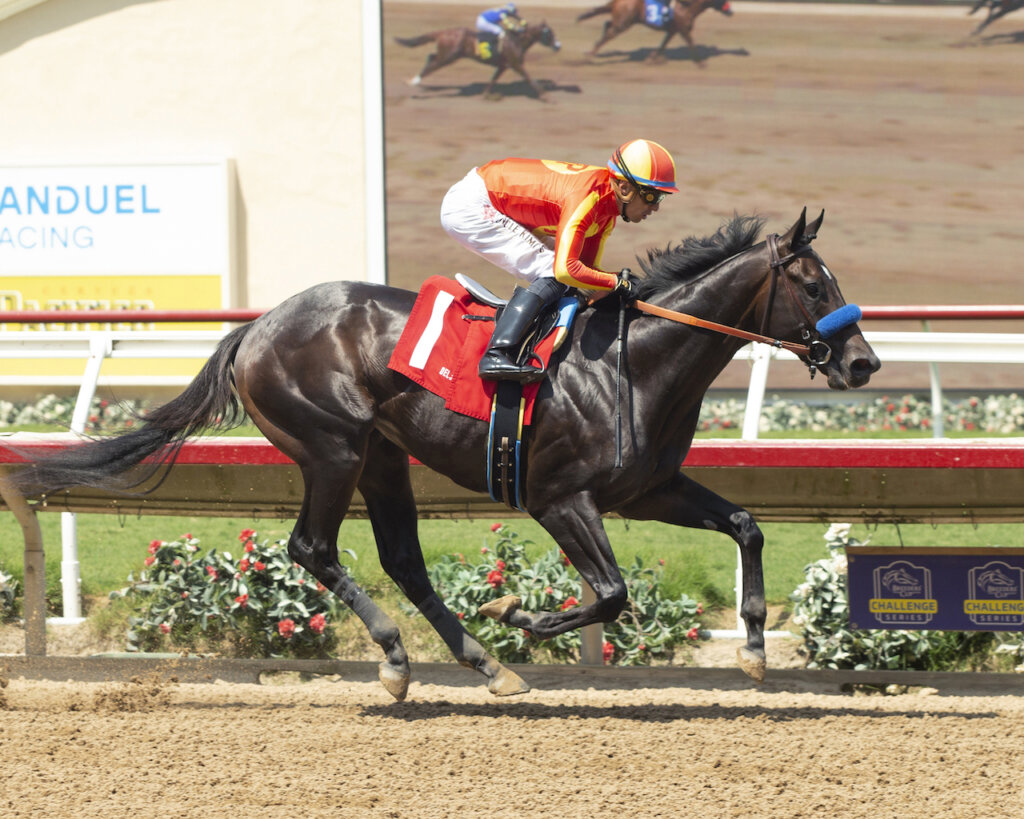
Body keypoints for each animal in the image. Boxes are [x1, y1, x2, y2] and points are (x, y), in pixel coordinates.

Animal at [9, 207, 880, 700]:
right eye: (812, 283)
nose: (864, 362)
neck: (632, 362)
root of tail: (256, 328)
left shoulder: (648, 488)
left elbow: (746, 525)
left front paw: (758, 651)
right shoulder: (561, 498)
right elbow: (610, 594)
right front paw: (517, 613)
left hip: (384, 455)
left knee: (401, 558)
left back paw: (483, 665)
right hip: (333, 446)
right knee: (313, 546)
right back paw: (403, 657)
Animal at [395, 19, 565, 98]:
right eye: (548, 33)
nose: (558, 46)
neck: (516, 40)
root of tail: (442, 32)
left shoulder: (503, 65)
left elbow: (493, 80)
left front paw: (486, 94)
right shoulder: (516, 64)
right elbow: (530, 79)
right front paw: (546, 96)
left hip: (447, 54)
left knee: (431, 57)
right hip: (449, 56)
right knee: (432, 64)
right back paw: (413, 81)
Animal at [577, 0, 737, 64]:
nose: (731, 11)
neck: (687, 6)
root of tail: (616, 2)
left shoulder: (673, 30)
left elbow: (663, 45)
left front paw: (652, 59)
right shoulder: (683, 29)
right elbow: (691, 43)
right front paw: (701, 63)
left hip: (624, 21)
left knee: (607, 25)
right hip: (623, 24)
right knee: (606, 37)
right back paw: (587, 58)